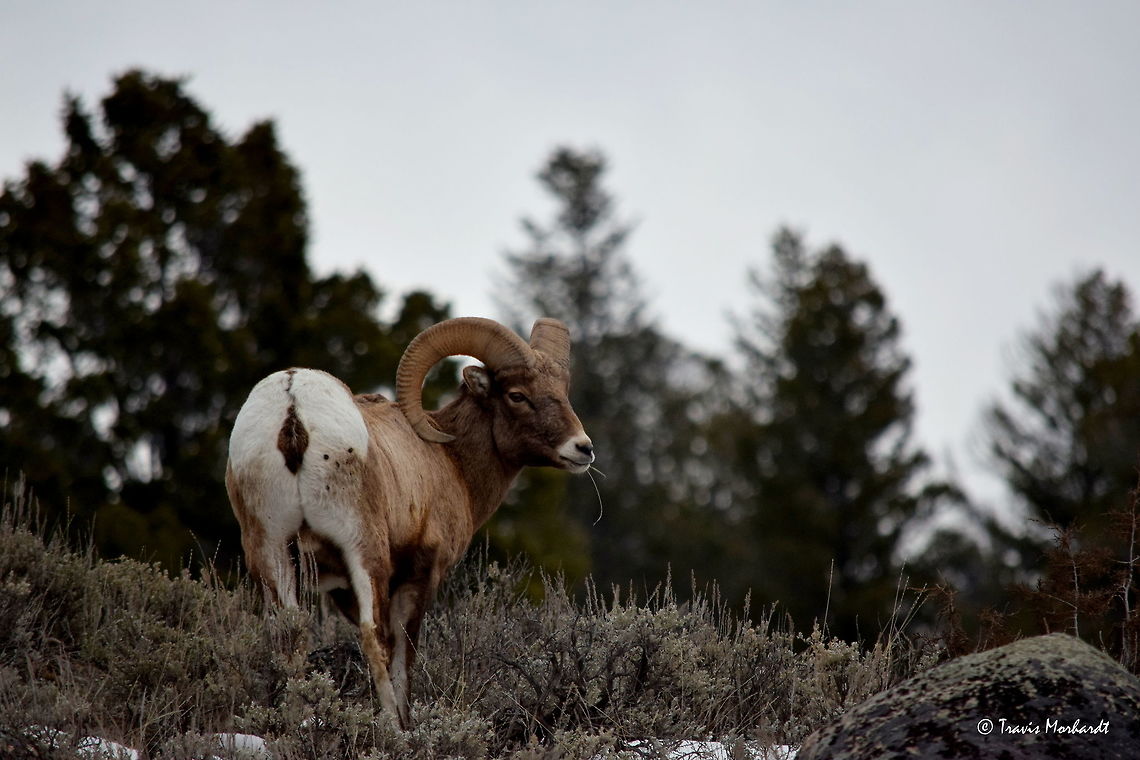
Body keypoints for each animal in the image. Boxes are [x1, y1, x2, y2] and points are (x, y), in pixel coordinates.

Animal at [224, 316, 593, 729]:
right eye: (517, 395)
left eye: (561, 391)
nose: (583, 448)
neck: (450, 461)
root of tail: (293, 406)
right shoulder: (419, 573)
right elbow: (403, 650)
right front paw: (405, 724)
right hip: (362, 549)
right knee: (373, 636)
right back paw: (390, 727)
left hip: (271, 551)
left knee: (289, 638)